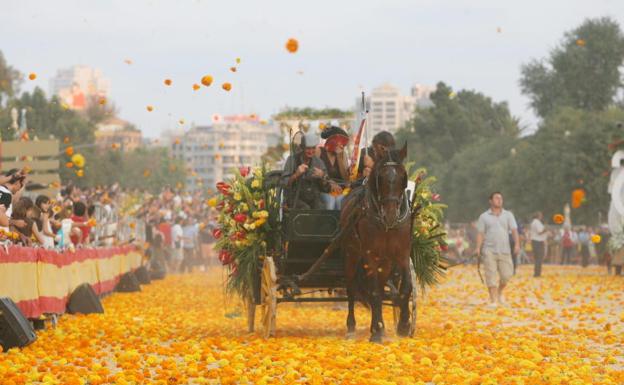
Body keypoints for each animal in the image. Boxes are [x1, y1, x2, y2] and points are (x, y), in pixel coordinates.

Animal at [338, 142, 412, 340]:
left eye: (403, 176)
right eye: (381, 177)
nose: (391, 215)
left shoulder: (402, 254)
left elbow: (406, 288)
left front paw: (404, 324)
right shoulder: (370, 256)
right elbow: (374, 293)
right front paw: (377, 332)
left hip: (385, 262)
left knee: (379, 284)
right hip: (351, 254)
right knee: (352, 287)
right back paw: (352, 327)